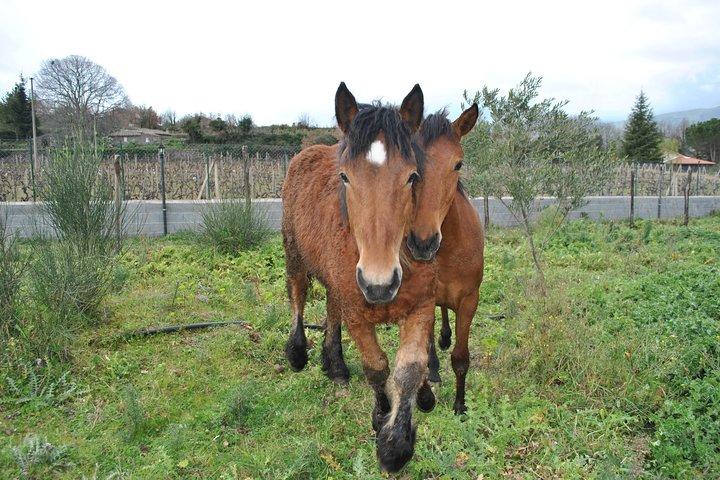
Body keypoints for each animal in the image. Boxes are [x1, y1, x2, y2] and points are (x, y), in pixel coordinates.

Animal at [281, 83, 438, 472]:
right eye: (345, 176)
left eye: (412, 176)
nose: (379, 284)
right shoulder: (357, 311)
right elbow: (376, 367)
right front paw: (381, 418)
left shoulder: (421, 308)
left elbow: (408, 369)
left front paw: (397, 444)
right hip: (294, 254)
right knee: (298, 293)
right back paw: (298, 352)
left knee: (330, 306)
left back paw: (334, 364)